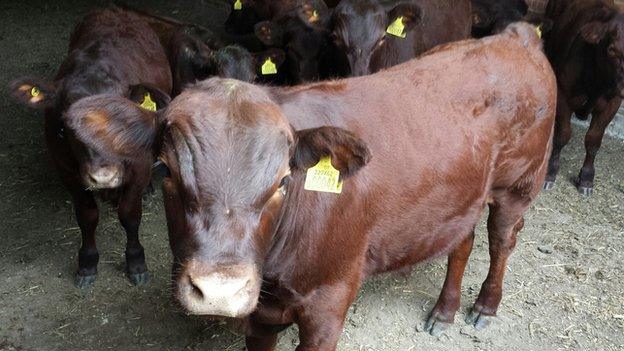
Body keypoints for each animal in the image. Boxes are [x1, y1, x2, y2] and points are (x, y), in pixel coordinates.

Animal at [8, 7, 173, 288]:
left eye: (123, 119)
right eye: (65, 127)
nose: (103, 177)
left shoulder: (139, 165)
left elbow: (129, 214)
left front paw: (136, 262)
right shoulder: (67, 170)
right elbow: (87, 216)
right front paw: (87, 263)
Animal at [74, 22, 556, 350]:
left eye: (283, 180)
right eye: (167, 171)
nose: (220, 291)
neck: (277, 272)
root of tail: (514, 36)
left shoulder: (330, 303)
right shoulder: (260, 316)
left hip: (519, 182)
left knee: (501, 239)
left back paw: (484, 306)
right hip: (462, 193)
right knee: (463, 239)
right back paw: (445, 310)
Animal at [540, 0, 624, 195]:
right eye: (612, 49)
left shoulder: (613, 103)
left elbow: (593, 140)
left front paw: (586, 178)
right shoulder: (564, 94)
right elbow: (563, 135)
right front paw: (550, 172)